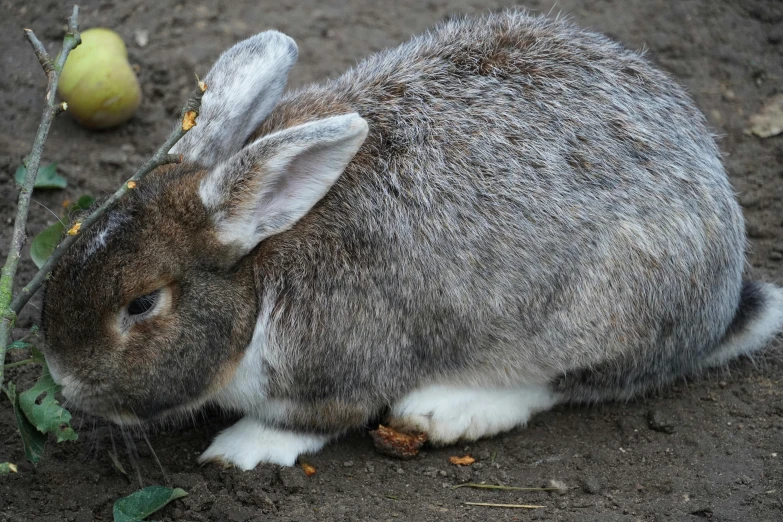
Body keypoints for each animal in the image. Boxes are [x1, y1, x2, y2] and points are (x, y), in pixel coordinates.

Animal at [41, 10, 783, 470]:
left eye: (142, 304)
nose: (63, 381)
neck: (258, 276)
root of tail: (723, 303)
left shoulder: (339, 371)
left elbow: (306, 421)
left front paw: (240, 449)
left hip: (607, 309)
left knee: (567, 385)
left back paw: (447, 411)